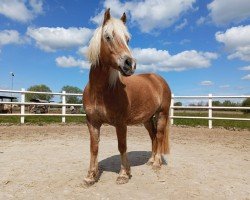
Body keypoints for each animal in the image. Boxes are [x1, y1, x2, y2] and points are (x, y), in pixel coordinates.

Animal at [83, 8, 171, 185]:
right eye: (108, 37)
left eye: (128, 39)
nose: (130, 64)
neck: (100, 91)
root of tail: (158, 79)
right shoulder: (92, 122)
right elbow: (94, 147)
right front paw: (90, 176)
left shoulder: (120, 123)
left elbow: (122, 146)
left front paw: (124, 174)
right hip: (147, 119)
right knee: (153, 137)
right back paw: (151, 160)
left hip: (162, 114)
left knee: (159, 135)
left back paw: (157, 163)